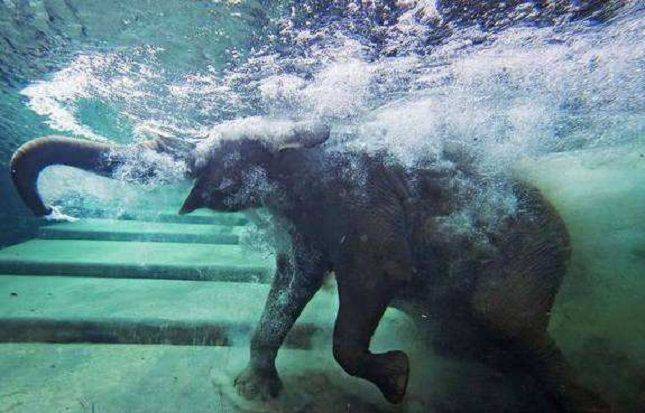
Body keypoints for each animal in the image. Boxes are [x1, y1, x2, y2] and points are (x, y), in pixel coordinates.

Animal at [8, 120, 604, 410]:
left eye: (220, 151)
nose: (52, 211)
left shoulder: (365, 203)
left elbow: (372, 280)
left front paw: (397, 383)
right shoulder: (305, 223)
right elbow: (296, 279)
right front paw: (253, 392)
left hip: (531, 257)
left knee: (506, 321)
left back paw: (583, 400)